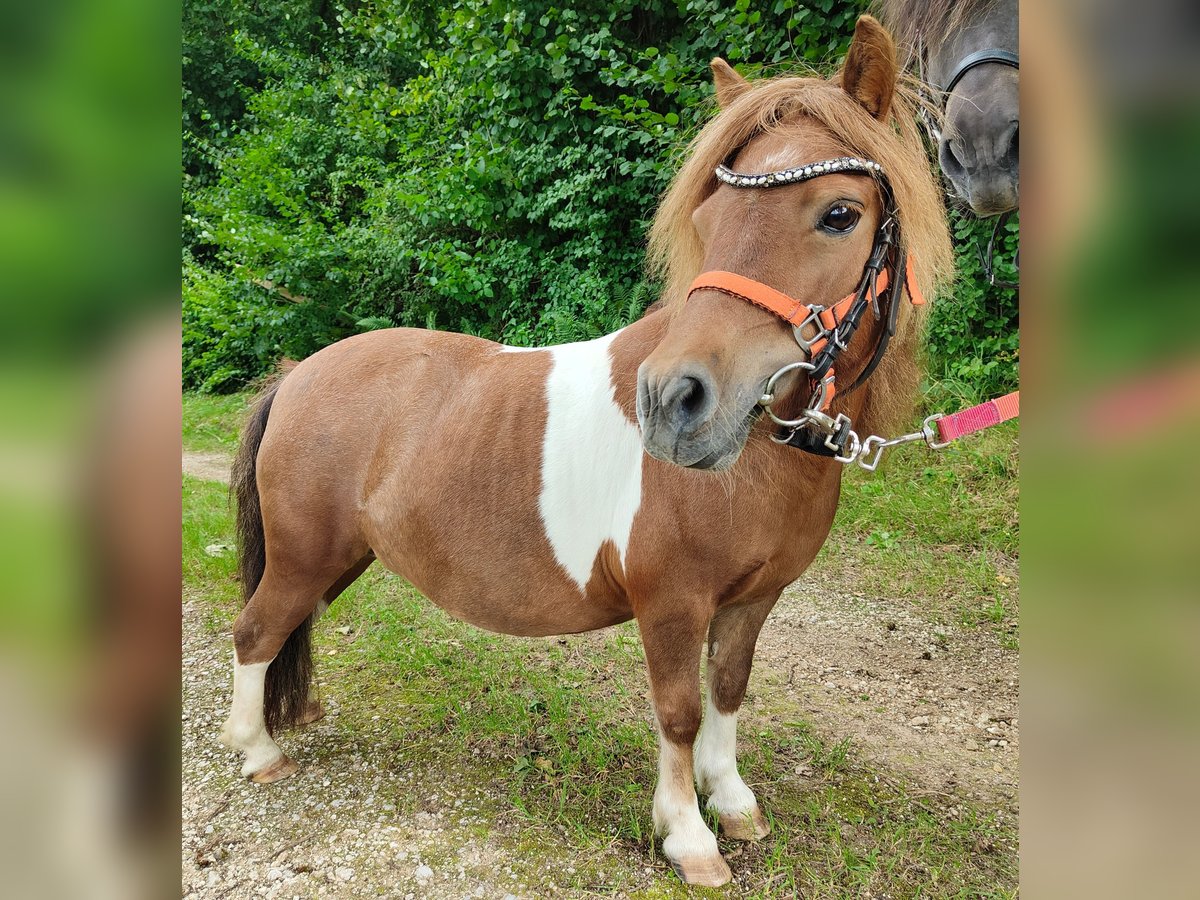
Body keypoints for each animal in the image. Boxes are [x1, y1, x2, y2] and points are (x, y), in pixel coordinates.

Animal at [223, 17, 955, 892]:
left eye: (841, 214)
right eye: (707, 220)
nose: (674, 404)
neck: (755, 462)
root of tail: (299, 373)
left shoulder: (751, 600)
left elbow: (728, 691)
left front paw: (734, 803)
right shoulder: (671, 603)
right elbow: (678, 710)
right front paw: (689, 838)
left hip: (339, 559)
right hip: (304, 557)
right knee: (255, 633)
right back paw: (259, 753)